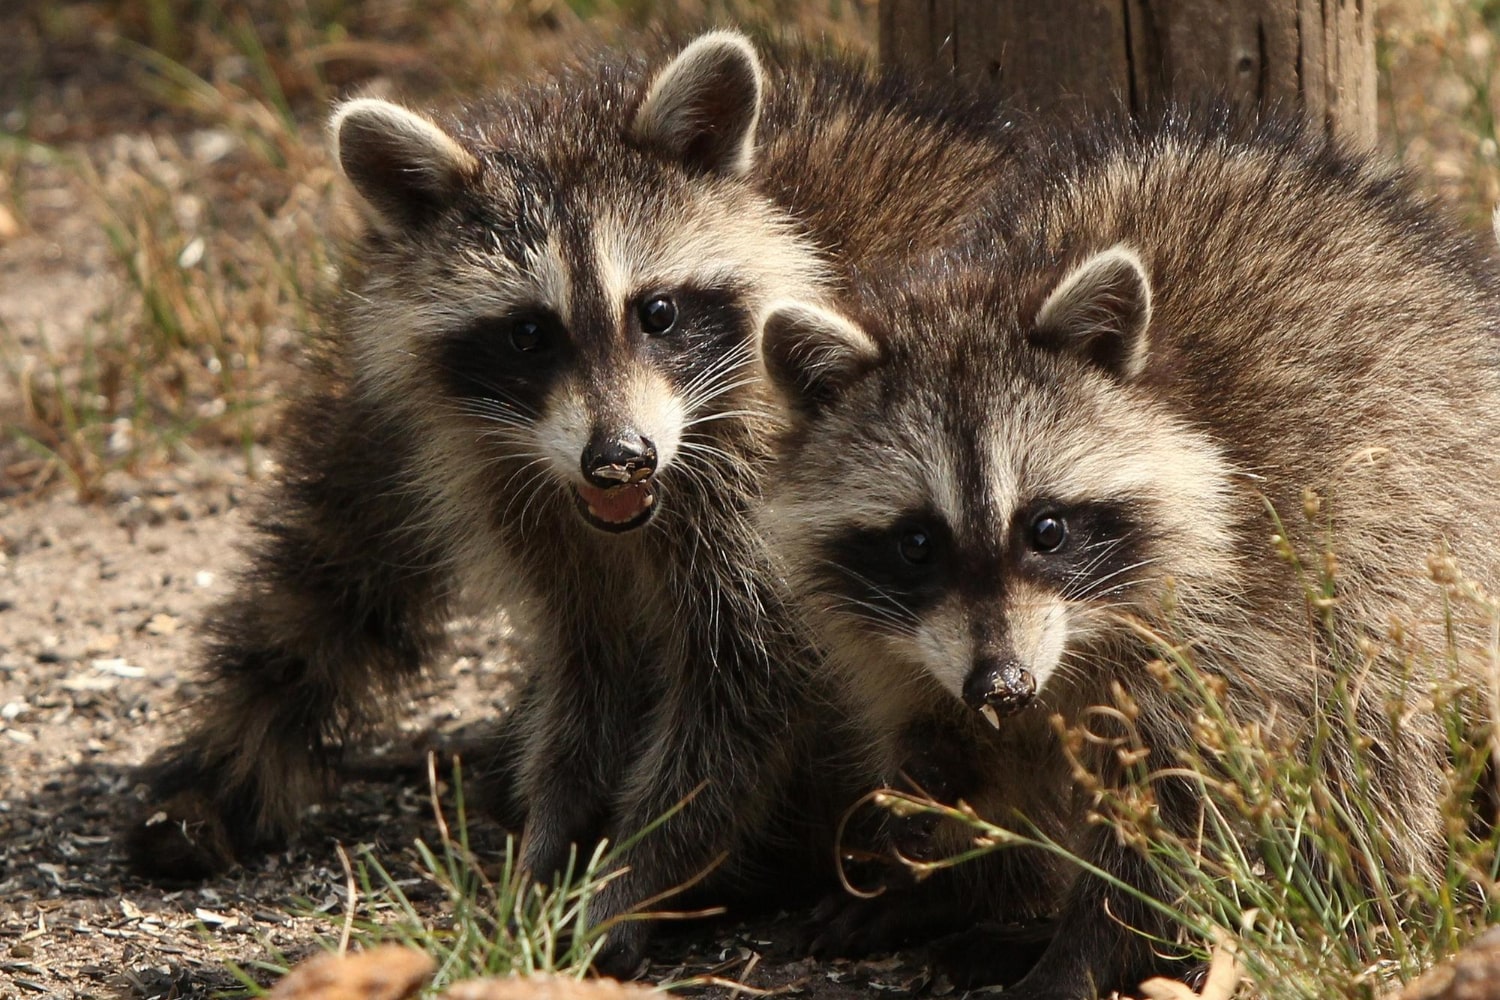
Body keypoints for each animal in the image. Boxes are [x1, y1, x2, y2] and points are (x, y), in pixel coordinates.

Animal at [123, 29, 1017, 972]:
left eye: (657, 312)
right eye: (528, 334)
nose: (619, 458)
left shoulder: (769, 499)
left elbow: (740, 701)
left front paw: (634, 875)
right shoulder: (523, 500)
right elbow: (589, 677)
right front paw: (553, 844)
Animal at [757, 109, 1500, 997]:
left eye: (1046, 529)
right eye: (916, 543)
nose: (1002, 683)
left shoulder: (1235, 617)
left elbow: (1189, 809)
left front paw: (1086, 947)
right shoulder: (910, 648)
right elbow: (951, 750)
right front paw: (939, 874)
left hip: (1416, 544)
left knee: (1371, 736)